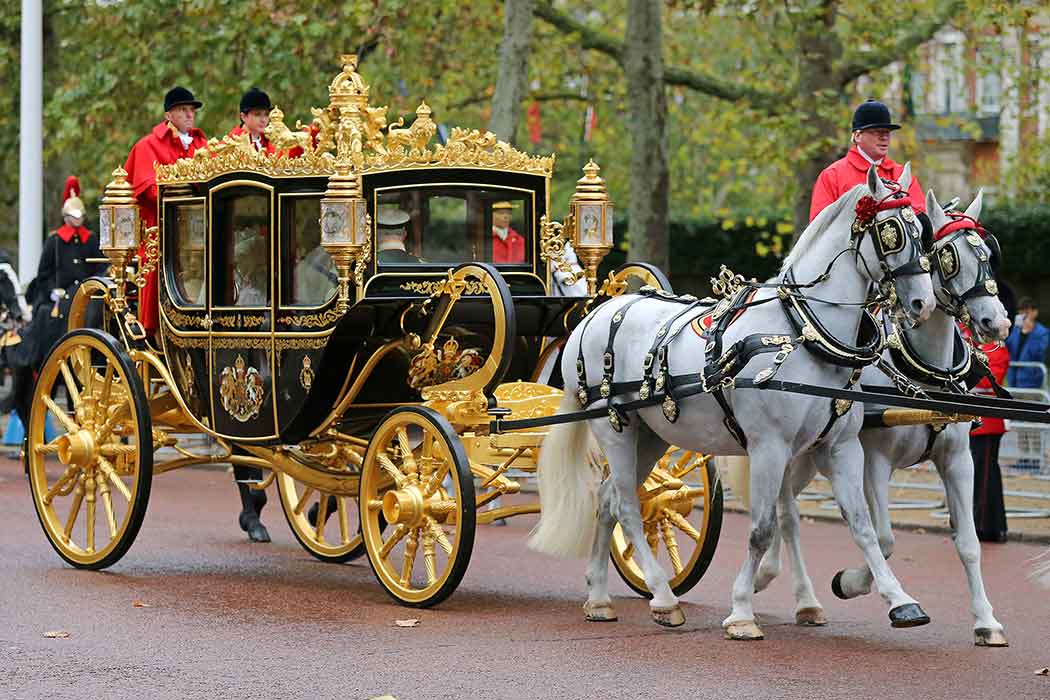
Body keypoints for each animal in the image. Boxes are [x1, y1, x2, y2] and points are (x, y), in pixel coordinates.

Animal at [533, 165, 936, 642]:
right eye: (892, 232)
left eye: (924, 232)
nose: (923, 303)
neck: (803, 333)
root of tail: (595, 313)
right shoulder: (769, 447)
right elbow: (761, 529)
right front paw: (742, 610)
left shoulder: (839, 448)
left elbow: (862, 527)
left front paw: (900, 601)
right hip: (616, 429)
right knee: (628, 506)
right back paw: (664, 598)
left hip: (650, 435)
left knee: (609, 498)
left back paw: (599, 597)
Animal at [760, 189, 1012, 646]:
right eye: (946, 256)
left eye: (987, 253)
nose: (996, 322)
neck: (924, 371)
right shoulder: (875, 460)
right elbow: (884, 537)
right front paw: (851, 583)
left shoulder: (958, 460)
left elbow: (968, 542)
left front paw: (986, 621)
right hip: (792, 451)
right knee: (786, 513)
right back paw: (793, 592)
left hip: (808, 457)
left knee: (784, 509)